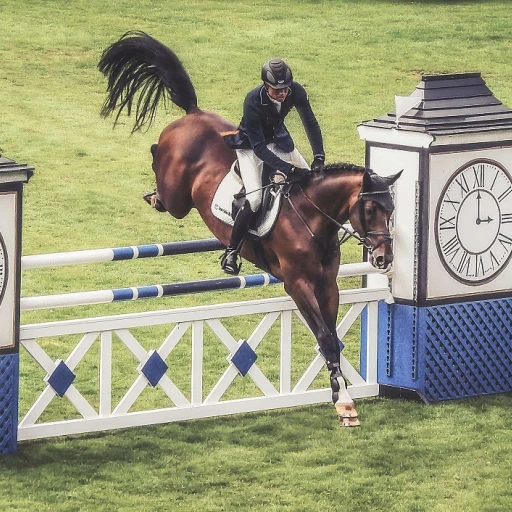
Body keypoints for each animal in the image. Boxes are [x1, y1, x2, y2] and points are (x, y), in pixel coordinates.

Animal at [97, 30, 400, 426]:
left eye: (391, 209)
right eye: (368, 207)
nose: (383, 259)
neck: (311, 219)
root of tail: (193, 113)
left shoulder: (327, 283)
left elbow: (332, 338)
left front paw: (342, 397)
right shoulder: (296, 283)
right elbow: (324, 336)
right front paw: (345, 404)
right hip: (178, 196)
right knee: (162, 176)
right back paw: (154, 195)